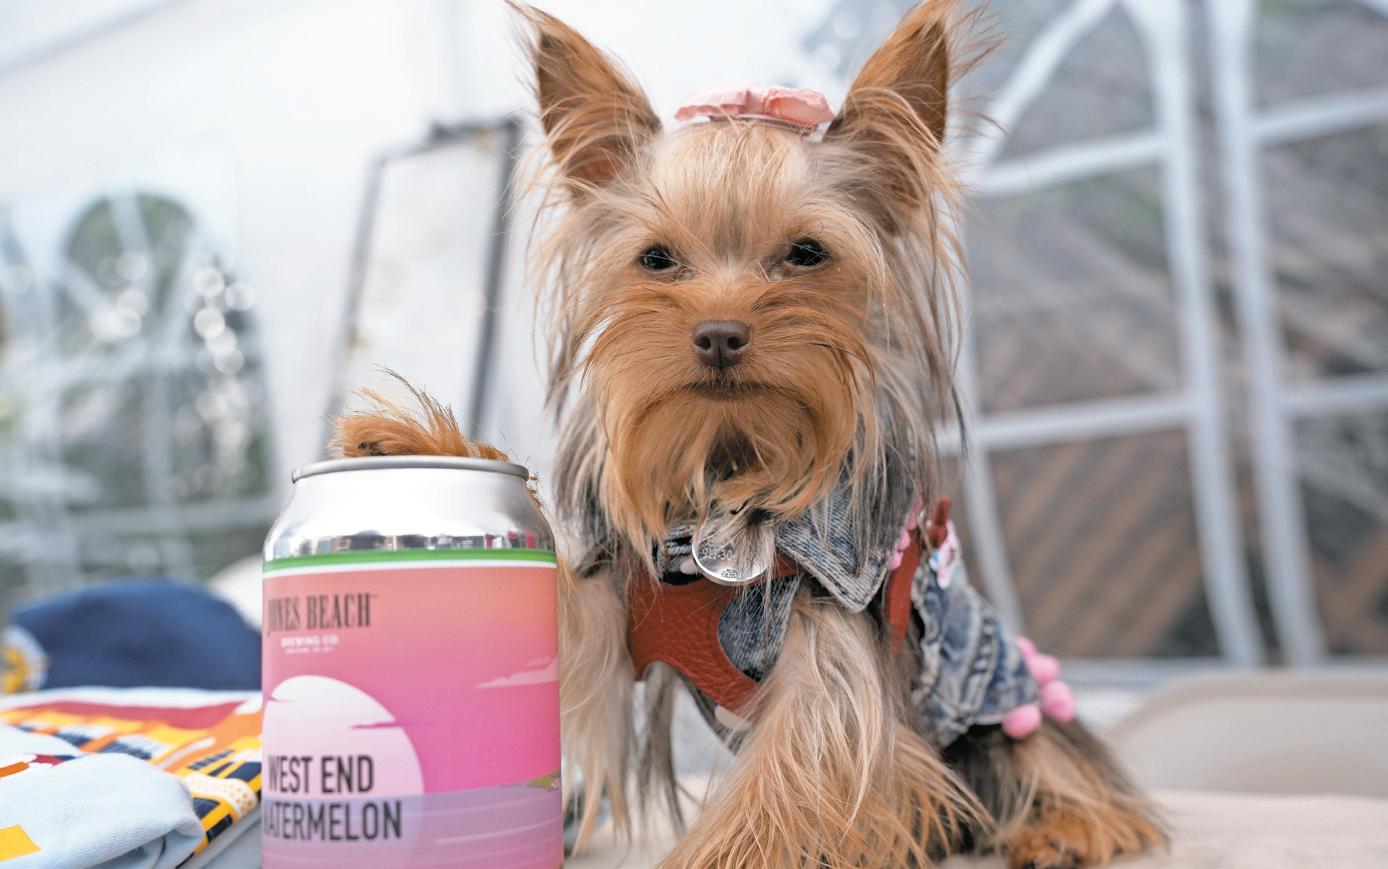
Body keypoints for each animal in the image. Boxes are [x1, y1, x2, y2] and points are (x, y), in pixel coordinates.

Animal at [333, 2, 1165, 866]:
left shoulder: (831, 651)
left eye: (805, 253)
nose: (719, 333)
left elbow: (800, 774)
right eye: (657, 259)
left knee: (1056, 762)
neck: (730, 469)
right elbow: (565, 620)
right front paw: (412, 449)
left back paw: (1066, 824)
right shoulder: (615, 609)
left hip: (1004, 696)